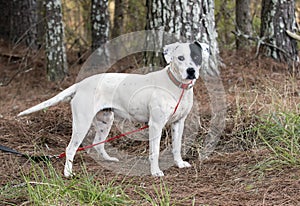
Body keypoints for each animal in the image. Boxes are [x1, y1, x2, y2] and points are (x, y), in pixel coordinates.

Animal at [18, 41, 209, 177]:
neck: (177, 86)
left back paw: (109, 159)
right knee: (70, 148)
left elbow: (177, 146)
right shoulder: (156, 125)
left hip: (105, 121)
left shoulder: (179, 123)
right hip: (82, 123)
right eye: (180, 58)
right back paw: (68, 173)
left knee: (98, 143)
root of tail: (81, 84)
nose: (191, 71)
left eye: (197, 57)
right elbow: (154, 152)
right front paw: (155, 172)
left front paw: (179, 163)